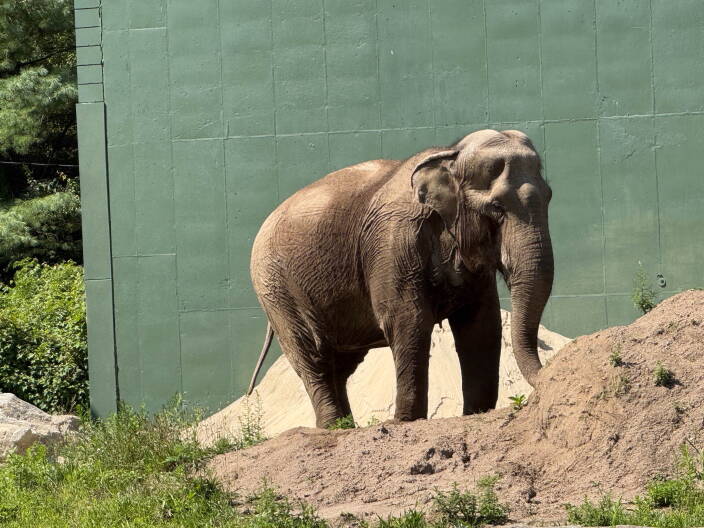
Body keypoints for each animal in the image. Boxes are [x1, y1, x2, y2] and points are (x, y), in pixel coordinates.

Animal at [247, 129, 554, 428]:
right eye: (497, 208)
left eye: (550, 196)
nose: (548, 376)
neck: (449, 155)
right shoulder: (394, 241)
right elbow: (409, 318)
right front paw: (404, 421)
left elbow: (481, 325)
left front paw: (476, 414)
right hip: (277, 290)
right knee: (311, 356)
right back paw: (333, 428)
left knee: (341, 365)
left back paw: (347, 427)